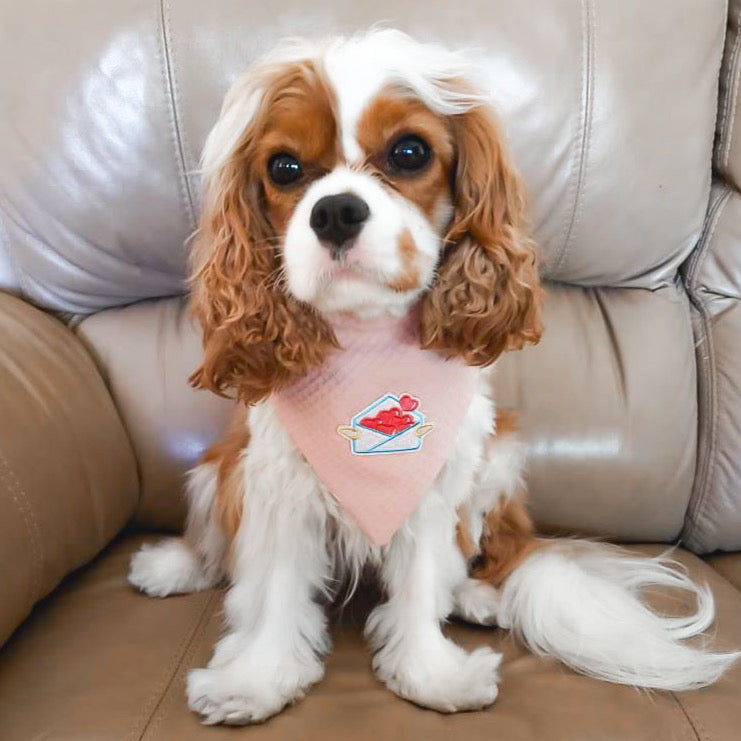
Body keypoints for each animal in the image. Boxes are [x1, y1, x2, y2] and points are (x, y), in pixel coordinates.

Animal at [127, 27, 736, 724]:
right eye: (284, 168)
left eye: (409, 153)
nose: (334, 212)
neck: (366, 346)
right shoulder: (275, 484)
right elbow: (275, 589)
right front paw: (257, 678)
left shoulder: (430, 484)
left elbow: (420, 583)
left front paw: (429, 673)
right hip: (216, 468)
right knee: (213, 541)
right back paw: (175, 567)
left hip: (494, 464)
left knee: (478, 555)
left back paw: (476, 596)